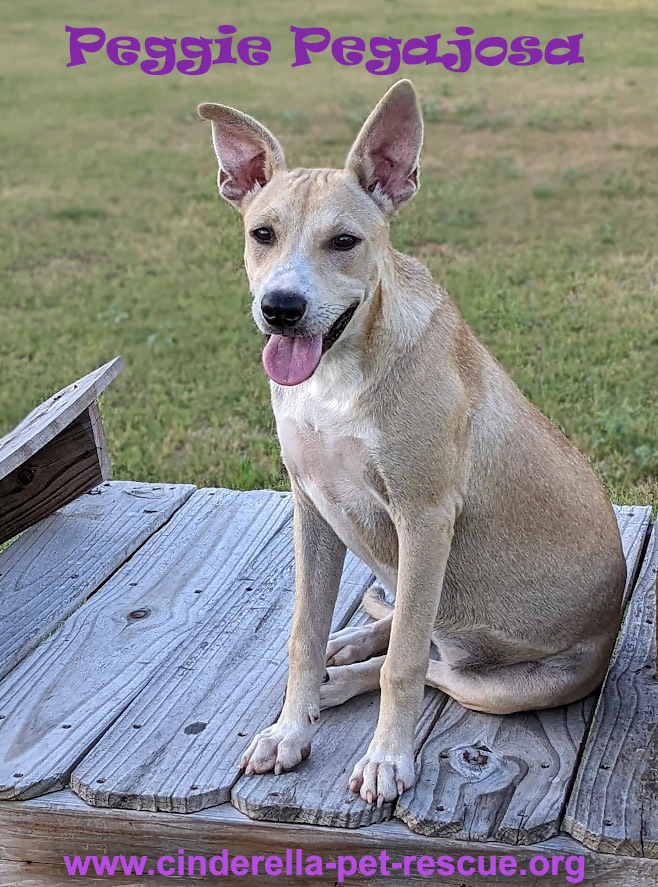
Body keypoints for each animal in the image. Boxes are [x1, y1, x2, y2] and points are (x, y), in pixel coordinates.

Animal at [197, 80, 624, 808]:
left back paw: (352, 676)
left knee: (429, 663)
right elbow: (303, 634)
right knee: (404, 631)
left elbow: (401, 664)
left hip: (511, 683)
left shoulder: (423, 518)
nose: (281, 308)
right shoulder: (311, 505)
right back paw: (343, 656)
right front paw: (290, 729)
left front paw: (386, 757)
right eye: (262, 234)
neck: (340, 371)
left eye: (345, 241)